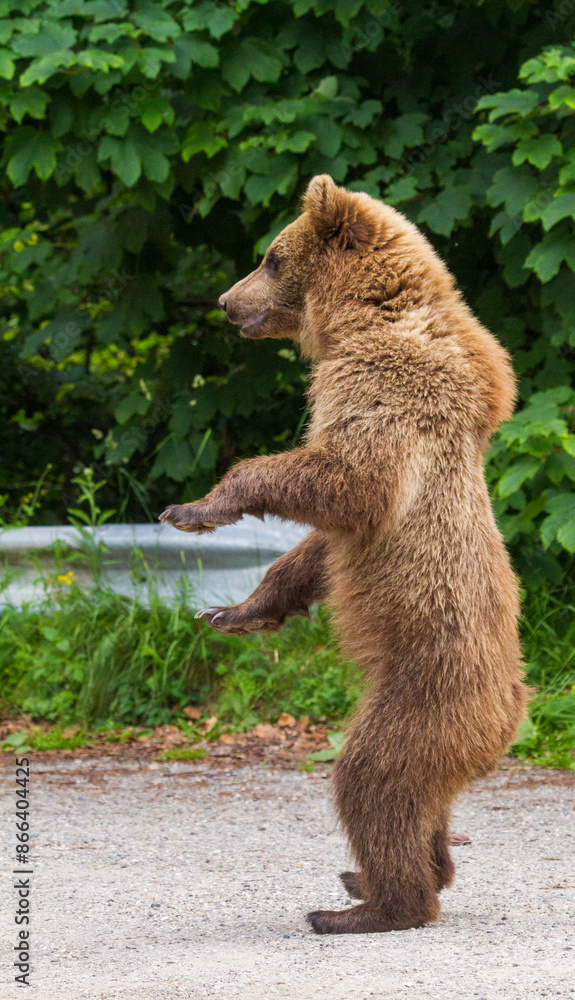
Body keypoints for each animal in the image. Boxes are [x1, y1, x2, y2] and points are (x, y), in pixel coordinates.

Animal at [160, 174, 528, 935]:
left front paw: (198, 508)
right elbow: (317, 549)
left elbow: (354, 482)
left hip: (423, 693)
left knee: (372, 776)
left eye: (270, 257)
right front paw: (236, 610)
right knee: (424, 805)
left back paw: (368, 906)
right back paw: (388, 875)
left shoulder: (382, 387)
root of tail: (513, 710)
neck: (359, 321)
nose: (225, 301)